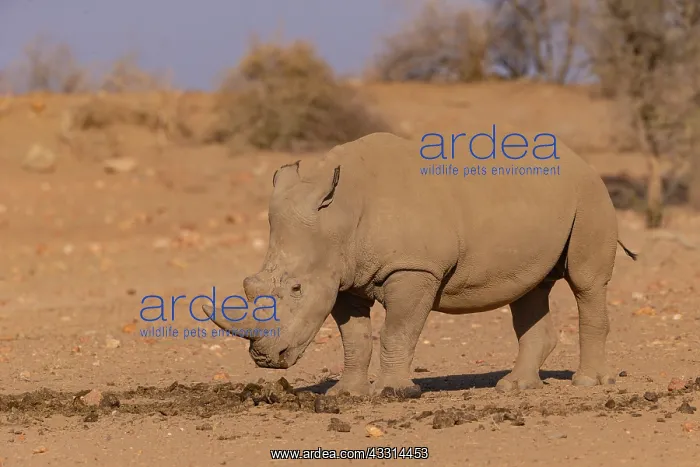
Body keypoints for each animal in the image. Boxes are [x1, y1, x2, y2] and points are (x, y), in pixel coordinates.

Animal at [202, 131, 637, 397]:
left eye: (296, 289)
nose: (264, 358)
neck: (340, 215)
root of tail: (582, 161)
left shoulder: (414, 269)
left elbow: (397, 332)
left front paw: (394, 392)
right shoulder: (344, 278)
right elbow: (355, 338)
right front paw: (347, 393)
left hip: (590, 195)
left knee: (586, 283)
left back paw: (587, 383)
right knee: (529, 289)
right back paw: (514, 388)